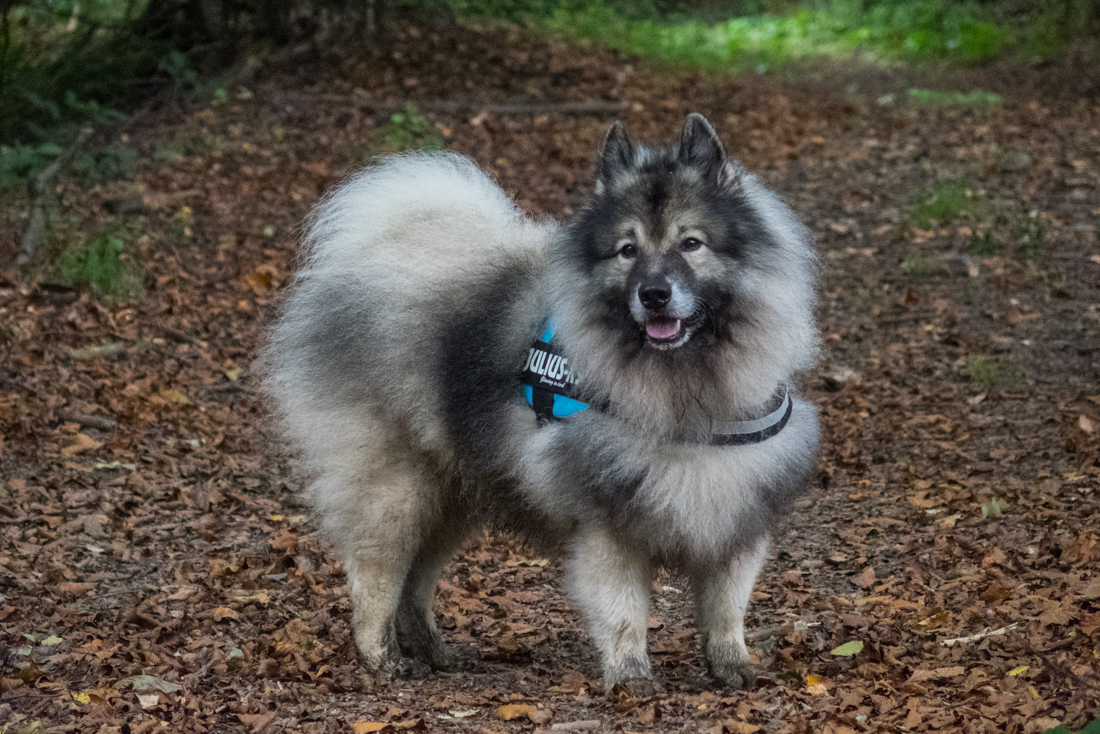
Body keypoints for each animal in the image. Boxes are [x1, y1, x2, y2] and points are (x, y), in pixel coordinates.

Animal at [261, 114, 822, 695]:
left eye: (691, 243)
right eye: (627, 250)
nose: (653, 294)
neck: (683, 389)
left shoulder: (736, 511)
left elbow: (726, 608)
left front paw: (733, 666)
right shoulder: (605, 522)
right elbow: (624, 611)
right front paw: (630, 676)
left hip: (453, 494)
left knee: (416, 582)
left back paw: (435, 651)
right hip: (396, 490)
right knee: (374, 576)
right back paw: (381, 659)